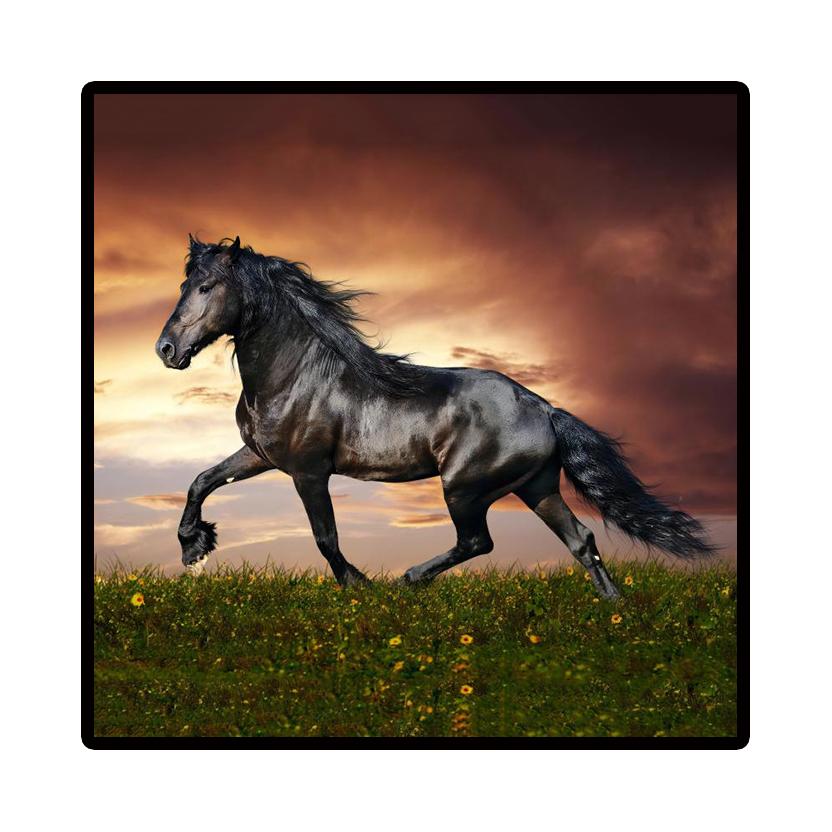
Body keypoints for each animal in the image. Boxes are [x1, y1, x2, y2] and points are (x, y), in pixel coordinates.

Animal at [155, 236, 713, 596]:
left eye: (207, 287)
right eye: (184, 285)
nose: (166, 349)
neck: (295, 374)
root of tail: (544, 408)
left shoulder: (308, 471)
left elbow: (325, 537)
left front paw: (359, 586)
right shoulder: (261, 455)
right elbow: (201, 480)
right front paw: (194, 548)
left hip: (464, 488)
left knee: (478, 541)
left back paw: (409, 579)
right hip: (537, 487)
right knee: (581, 540)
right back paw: (613, 611)